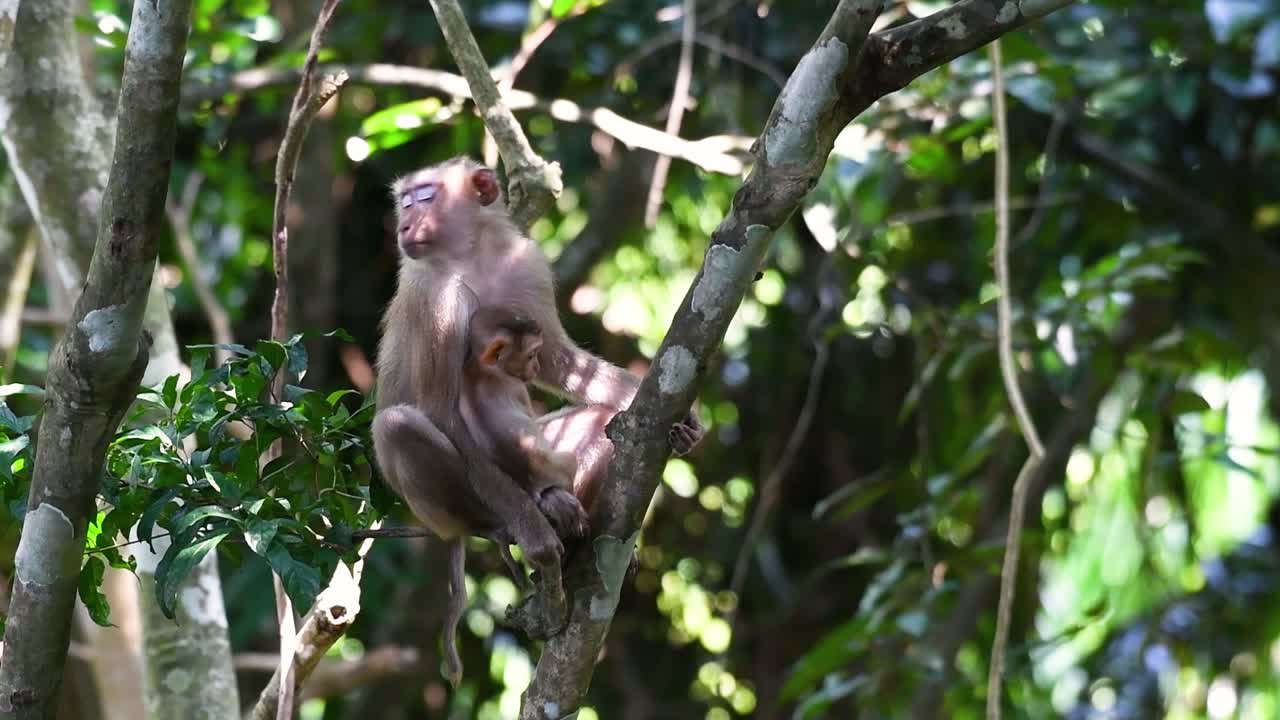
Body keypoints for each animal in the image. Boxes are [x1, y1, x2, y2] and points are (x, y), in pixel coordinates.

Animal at [371, 156, 705, 686]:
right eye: (404, 202)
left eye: (422, 197)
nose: (403, 225)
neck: (470, 253)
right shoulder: (433, 297)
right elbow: (441, 410)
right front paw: (536, 537)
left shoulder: (524, 262)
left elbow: (558, 360)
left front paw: (683, 420)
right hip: (446, 509)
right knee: (399, 426)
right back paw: (514, 523)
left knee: (600, 425)